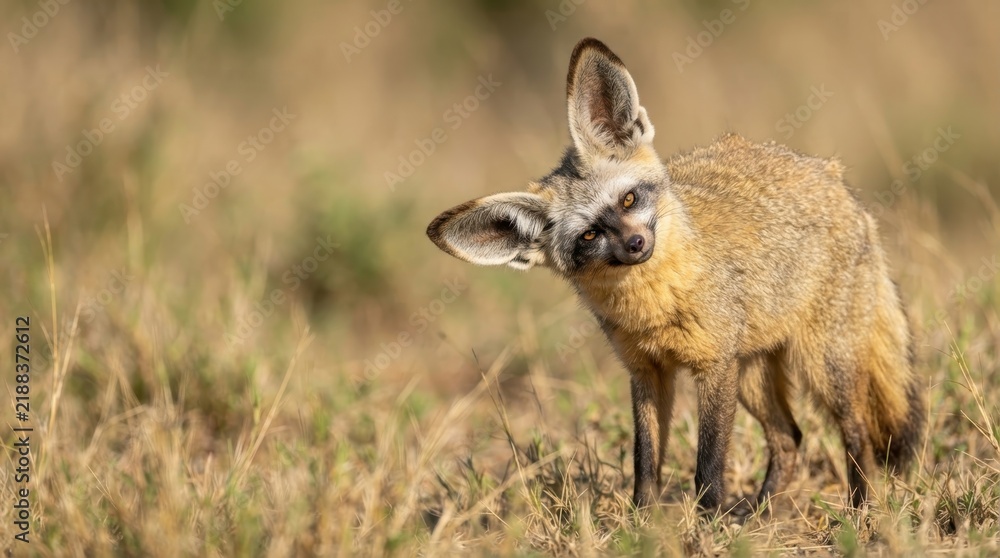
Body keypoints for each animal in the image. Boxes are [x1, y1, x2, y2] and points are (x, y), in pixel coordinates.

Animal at [426, 37, 924, 515]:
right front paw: (643, 523)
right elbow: (645, 461)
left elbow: (708, 463)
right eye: (589, 235)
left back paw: (859, 510)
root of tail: (834, 175)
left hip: (821, 365)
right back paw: (758, 514)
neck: (656, 309)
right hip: (754, 377)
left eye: (628, 200)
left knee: (856, 434)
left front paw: (705, 524)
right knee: (790, 438)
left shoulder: (713, 366)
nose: (635, 245)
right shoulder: (647, 372)